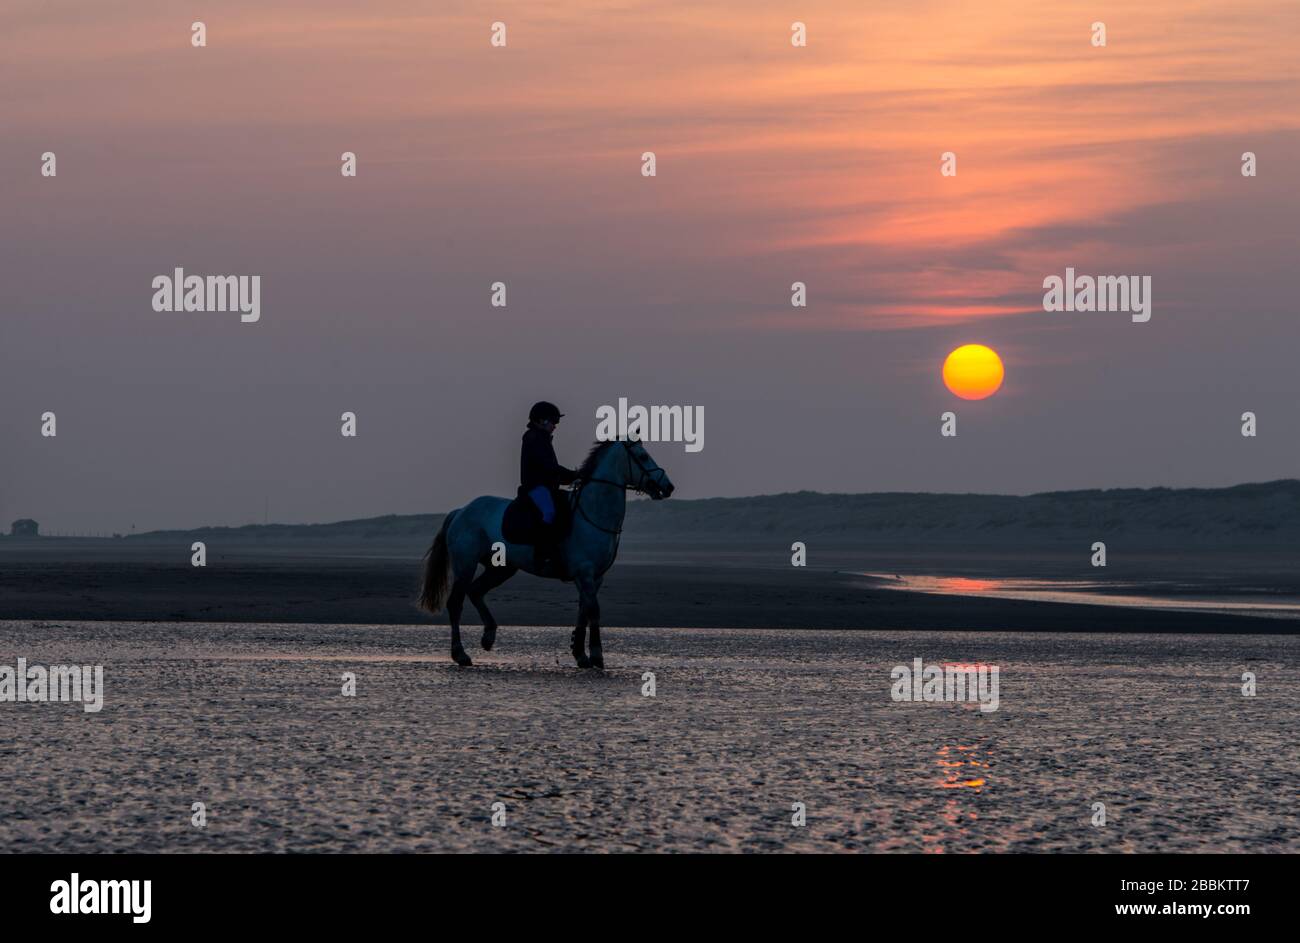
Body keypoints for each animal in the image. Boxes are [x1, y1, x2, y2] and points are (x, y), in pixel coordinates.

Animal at [417, 439, 674, 668]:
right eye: (642, 456)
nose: (668, 486)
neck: (593, 511)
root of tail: (461, 511)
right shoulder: (585, 572)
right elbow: (593, 611)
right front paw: (596, 655)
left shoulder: (593, 577)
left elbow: (583, 610)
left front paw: (580, 654)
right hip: (466, 565)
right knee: (456, 603)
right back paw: (460, 654)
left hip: (501, 568)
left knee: (476, 591)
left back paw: (488, 637)